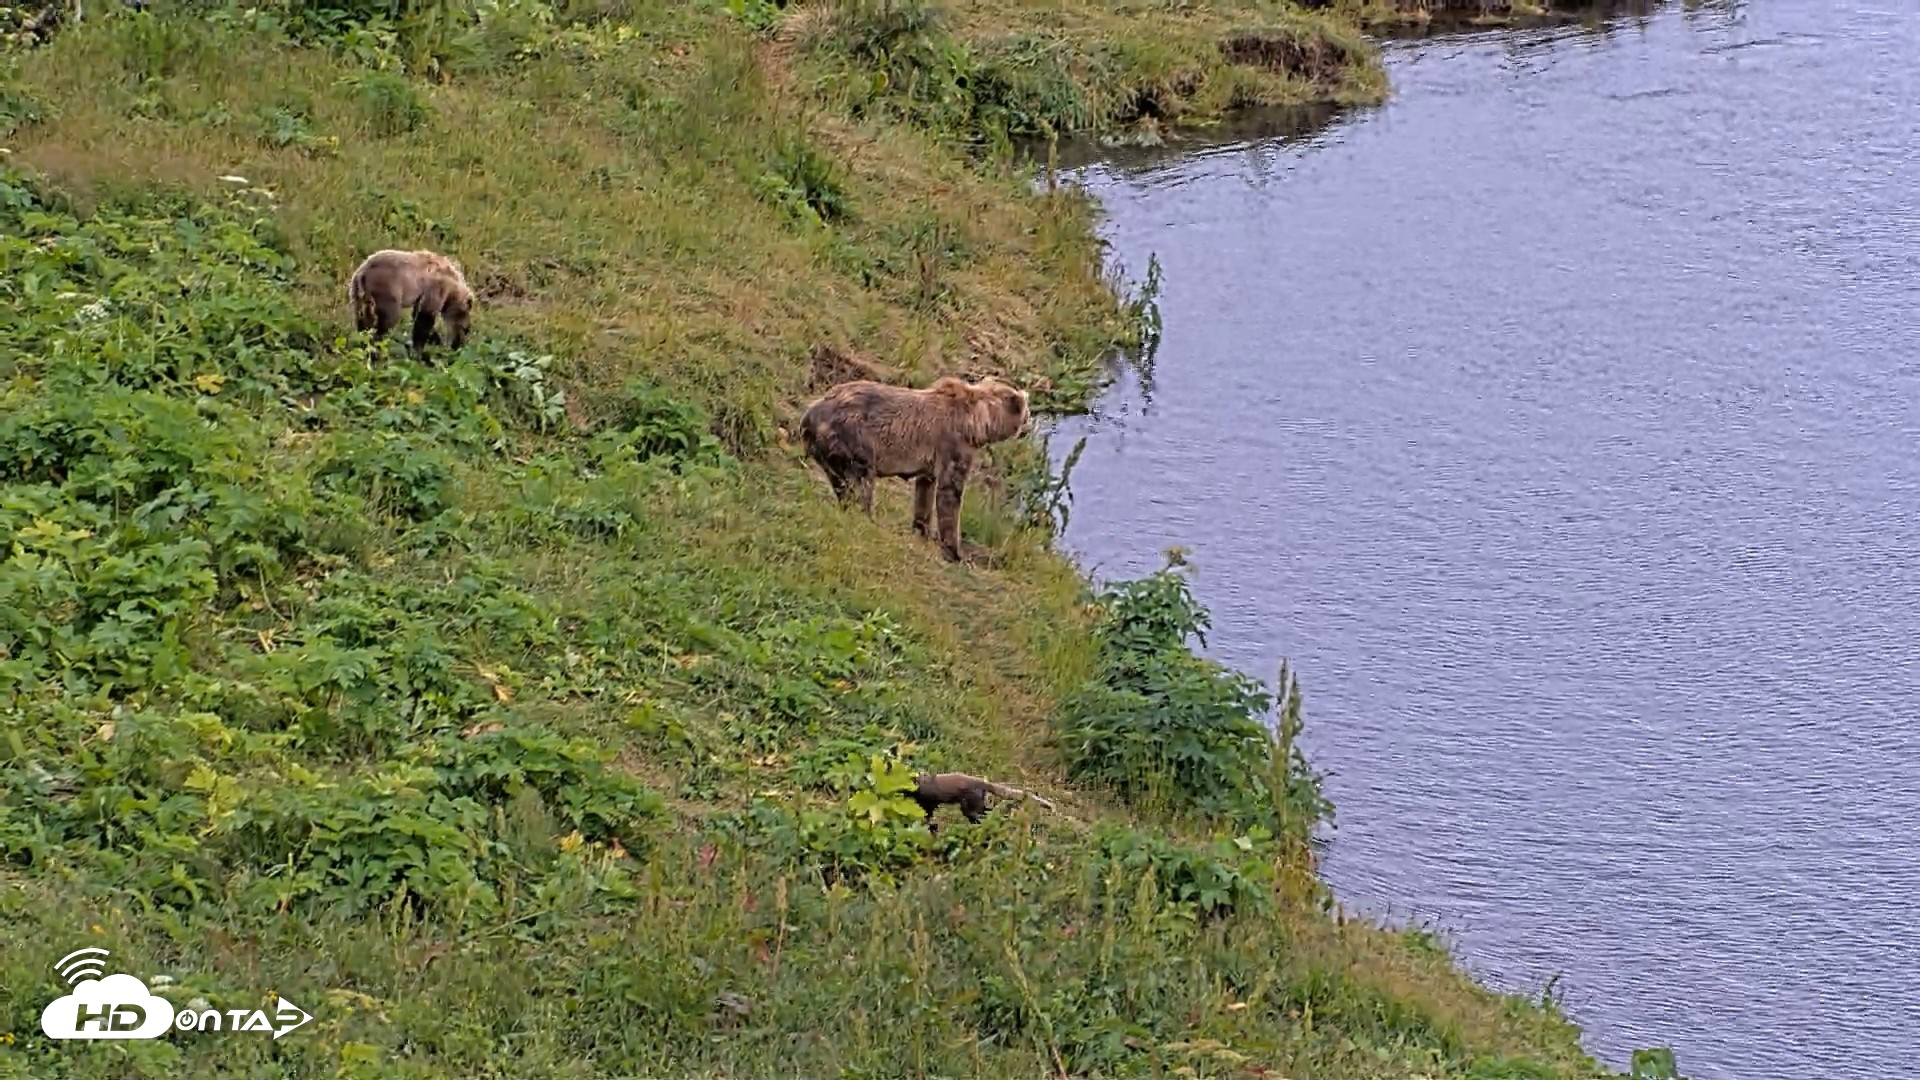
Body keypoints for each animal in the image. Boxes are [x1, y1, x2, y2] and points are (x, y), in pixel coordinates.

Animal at [346, 248, 474, 352]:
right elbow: (425, 319)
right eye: (466, 329)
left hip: (357, 294)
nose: (457, 346)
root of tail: (362, 273)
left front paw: (435, 340)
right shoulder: (436, 289)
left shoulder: (423, 296)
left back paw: (363, 342)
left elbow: (418, 315)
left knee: (362, 320)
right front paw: (420, 350)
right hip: (388, 289)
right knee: (387, 320)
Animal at [800, 374, 1030, 562]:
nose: (1028, 425)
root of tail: (810, 415)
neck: (978, 422)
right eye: (1027, 412)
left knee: (841, 483)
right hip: (855, 437)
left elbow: (925, 491)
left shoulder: (930, 461)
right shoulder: (953, 443)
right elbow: (950, 493)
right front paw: (956, 551)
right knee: (862, 482)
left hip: (830, 451)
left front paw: (922, 529)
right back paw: (866, 518)